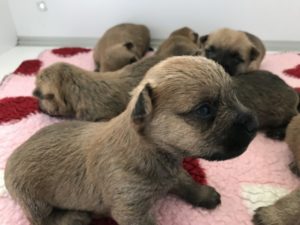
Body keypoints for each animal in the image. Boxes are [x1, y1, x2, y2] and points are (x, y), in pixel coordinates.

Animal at [4, 56, 258, 225]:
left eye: (234, 95)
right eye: (204, 110)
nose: (253, 124)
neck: (151, 152)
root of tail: (11, 158)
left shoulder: (174, 171)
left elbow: (186, 180)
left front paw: (203, 194)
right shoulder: (132, 211)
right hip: (35, 200)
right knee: (43, 219)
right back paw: (75, 216)